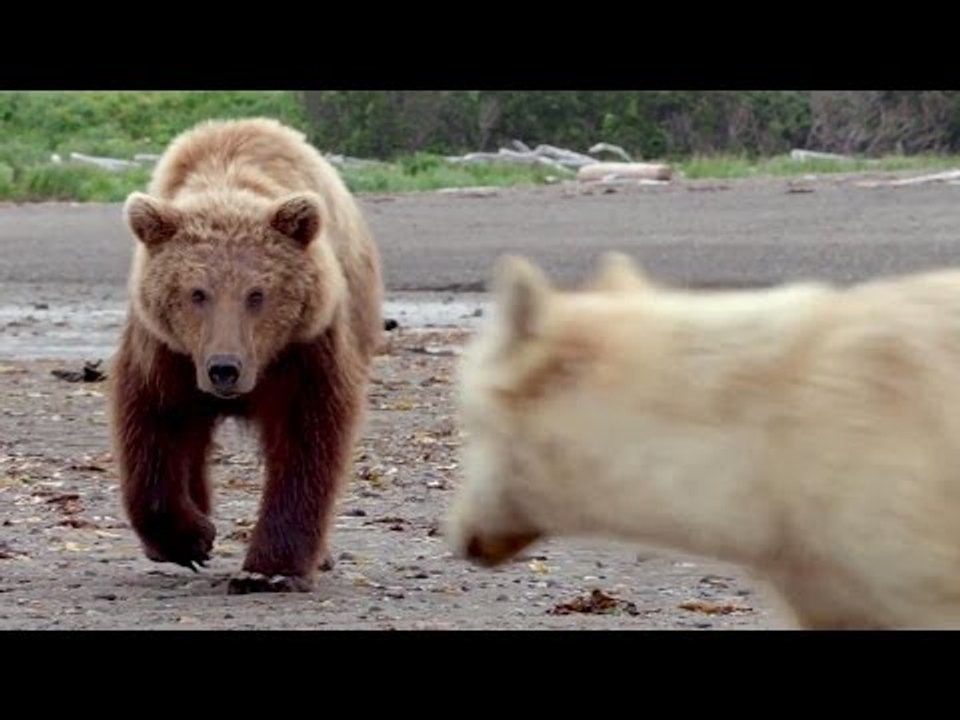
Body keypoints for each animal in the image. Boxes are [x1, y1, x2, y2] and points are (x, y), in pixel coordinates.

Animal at [111, 117, 383, 594]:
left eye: (257, 294)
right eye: (196, 293)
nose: (224, 369)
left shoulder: (304, 350)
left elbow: (305, 441)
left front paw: (269, 569)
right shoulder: (167, 352)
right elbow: (153, 424)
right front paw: (189, 538)